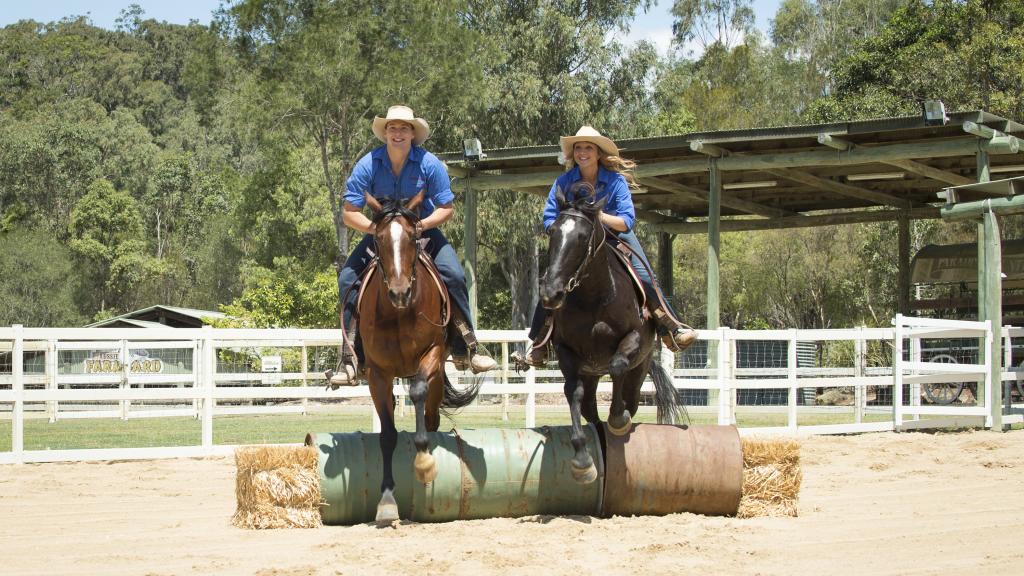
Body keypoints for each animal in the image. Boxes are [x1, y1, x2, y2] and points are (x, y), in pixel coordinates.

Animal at [358, 189, 481, 520]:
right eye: (378, 239)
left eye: (413, 237)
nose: (399, 292)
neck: (400, 313)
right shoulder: (377, 373)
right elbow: (387, 434)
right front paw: (387, 499)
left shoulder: (432, 355)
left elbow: (417, 393)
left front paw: (425, 463)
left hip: (437, 377)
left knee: (431, 415)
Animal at [540, 181, 684, 481]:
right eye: (552, 232)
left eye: (583, 236)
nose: (551, 293)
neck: (594, 298)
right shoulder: (566, 352)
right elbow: (573, 392)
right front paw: (582, 459)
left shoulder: (633, 339)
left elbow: (617, 366)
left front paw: (617, 419)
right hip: (591, 373)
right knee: (590, 410)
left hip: (639, 372)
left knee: (629, 398)